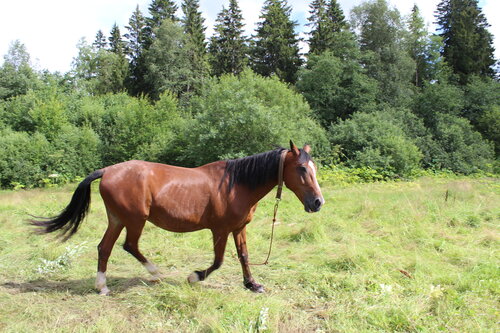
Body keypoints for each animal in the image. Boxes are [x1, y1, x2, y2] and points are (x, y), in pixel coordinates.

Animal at [33, 140, 326, 294]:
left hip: (117, 219)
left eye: (313, 167)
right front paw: (195, 277)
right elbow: (218, 261)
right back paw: (154, 273)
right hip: (134, 220)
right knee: (129, 245)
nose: (318, 202)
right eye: (302, 169)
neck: (236, 184)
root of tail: (107, 171)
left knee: (105, 248)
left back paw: (102, 286)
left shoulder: (238, 228)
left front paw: (252, 284)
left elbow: (243, 256)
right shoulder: (220, 230)